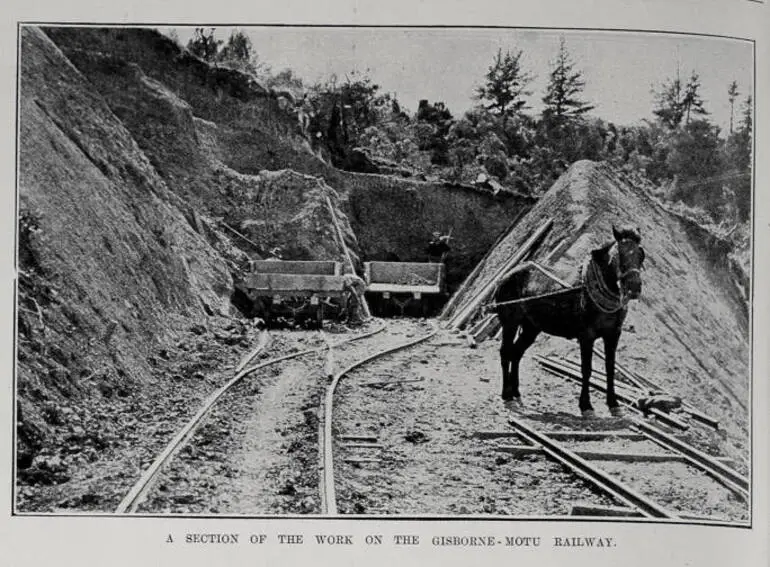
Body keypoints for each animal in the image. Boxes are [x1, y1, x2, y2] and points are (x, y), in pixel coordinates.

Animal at [492, 225, 640, 418]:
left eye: (641, 254)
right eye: (619, 254)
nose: (634, 287)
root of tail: (505, 276)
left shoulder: (613, 334)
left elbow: (610, 368)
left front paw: (613, 404)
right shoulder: (586, 336)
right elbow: (586, 369)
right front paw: (586, 406)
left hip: (531, 327)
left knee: (516, 353)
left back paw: (516, 392)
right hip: (510, 323)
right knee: (505, 353)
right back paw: (507, 395)